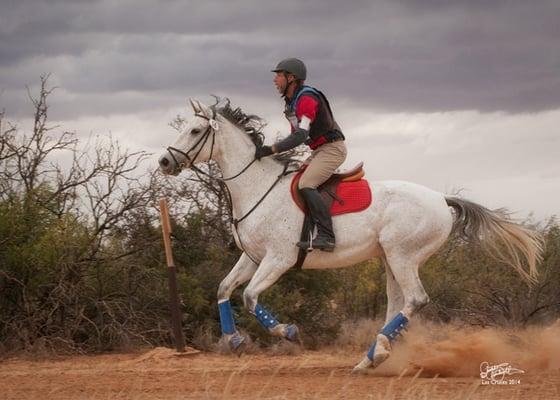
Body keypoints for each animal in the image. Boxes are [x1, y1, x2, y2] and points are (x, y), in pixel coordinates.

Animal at [158, 98, 544, 374]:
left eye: (195, 131)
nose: (164, 162)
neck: (256, 187)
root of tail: (440, 198)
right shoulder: (252, 257)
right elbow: (224, 289)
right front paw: (234, 340)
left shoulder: (278, 258)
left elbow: (250, 296)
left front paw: (288, 332)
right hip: (390, 259)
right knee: (396, 305)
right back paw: (371, 358)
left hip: (403, 255)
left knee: (415, 300)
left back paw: (376, 355)